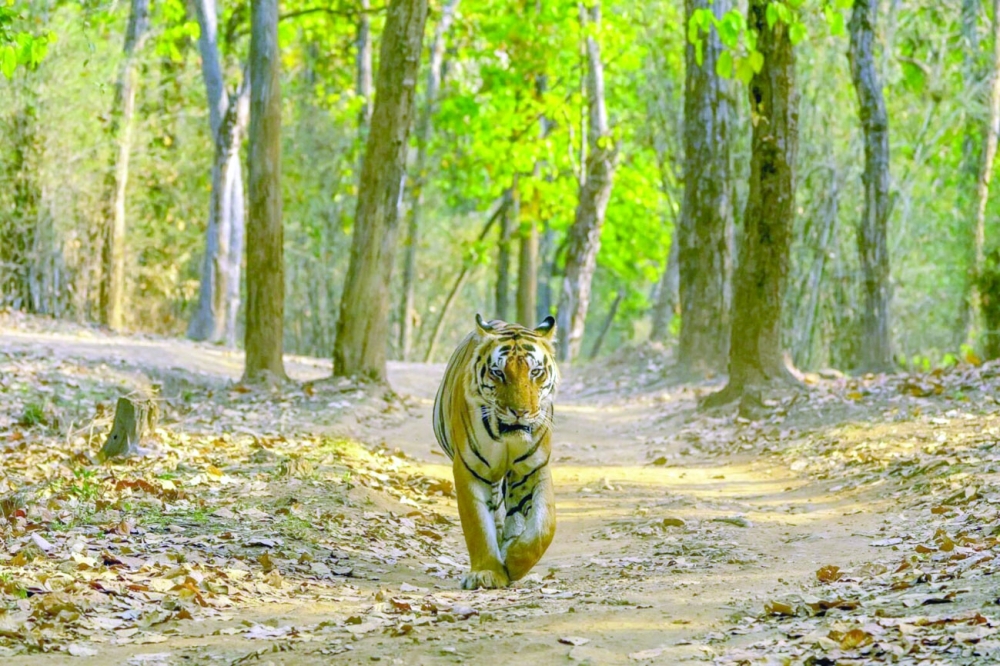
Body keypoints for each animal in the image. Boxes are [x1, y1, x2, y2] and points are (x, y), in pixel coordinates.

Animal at [433, 314, 560, 589]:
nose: (520, 412)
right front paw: (487, 572)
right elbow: (478, 525)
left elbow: (544, 527)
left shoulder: (534, 468)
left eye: (535, 372)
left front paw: (514, 561)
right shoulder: (470, 468)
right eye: (498, 373)